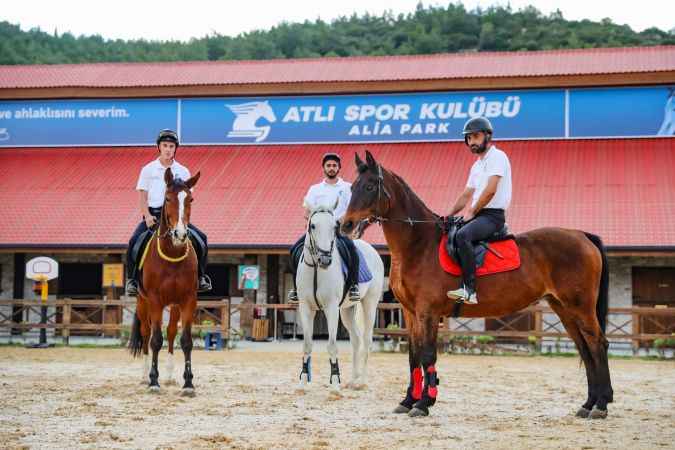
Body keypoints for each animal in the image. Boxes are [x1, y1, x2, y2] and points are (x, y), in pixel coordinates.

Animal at [129, 167, 202, 396]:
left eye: (190, 199)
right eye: (167, 198)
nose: (180, 234)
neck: (172, 253)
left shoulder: (188, 300)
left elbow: (185, 341)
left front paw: (188, 383)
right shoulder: (154, 300)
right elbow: (155, 340)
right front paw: (153, 381)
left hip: (175, 305)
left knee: (170, 333)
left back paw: (169, 376)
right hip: (143, 303)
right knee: (146, 334)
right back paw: (144, 376)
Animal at [298, 200, 386, 390]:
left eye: (334, 226)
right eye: (313, 225)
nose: (325, 260)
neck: (317, 269)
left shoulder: (331, 308)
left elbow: (332, 345)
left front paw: (335, 383)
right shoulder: (305, 307)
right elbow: (307, 344)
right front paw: (302, 382)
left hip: (369, 304)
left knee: (367, 341)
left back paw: (362, 382)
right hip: (347, 310)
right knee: (356, 340)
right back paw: (353, 379)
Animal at [344, 151, 612, 418]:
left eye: (369, 186)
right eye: (353, 187)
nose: (345, 225)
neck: (420, 245)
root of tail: (582, 235)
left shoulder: (428, 312)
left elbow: (428, 354)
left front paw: (424, 403)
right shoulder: (411, 313)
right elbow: (414, 355)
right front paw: (409, 400)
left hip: (581, 308)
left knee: (597, 344)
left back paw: (600, 404)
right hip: (564, 309)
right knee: (585, 348)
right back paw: (588, 404)